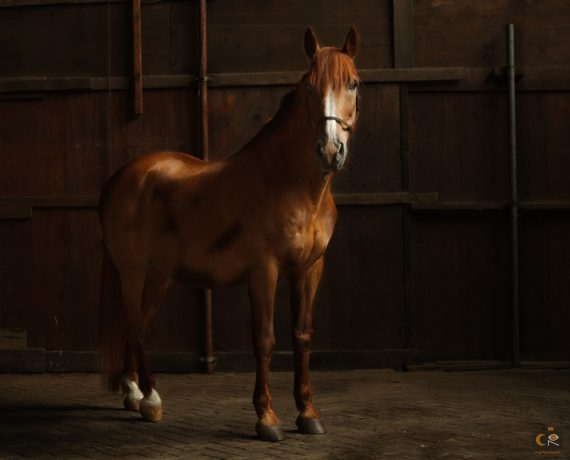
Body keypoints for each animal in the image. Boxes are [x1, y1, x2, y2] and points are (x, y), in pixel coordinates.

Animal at [98, 26, 358, 442]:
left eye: (353, 83)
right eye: (310, 87)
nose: (331, 150)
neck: (293, 186)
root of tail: (122, 176)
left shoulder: (309, 270)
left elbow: (302, 335)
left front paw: (307, 414)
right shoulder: (264, 271)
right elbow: (264, 339)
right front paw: (267, 418)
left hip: (158, 275)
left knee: (134, 320)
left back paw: (133, 393)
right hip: (133, 269)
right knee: (136, 323)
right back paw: (151, 399)